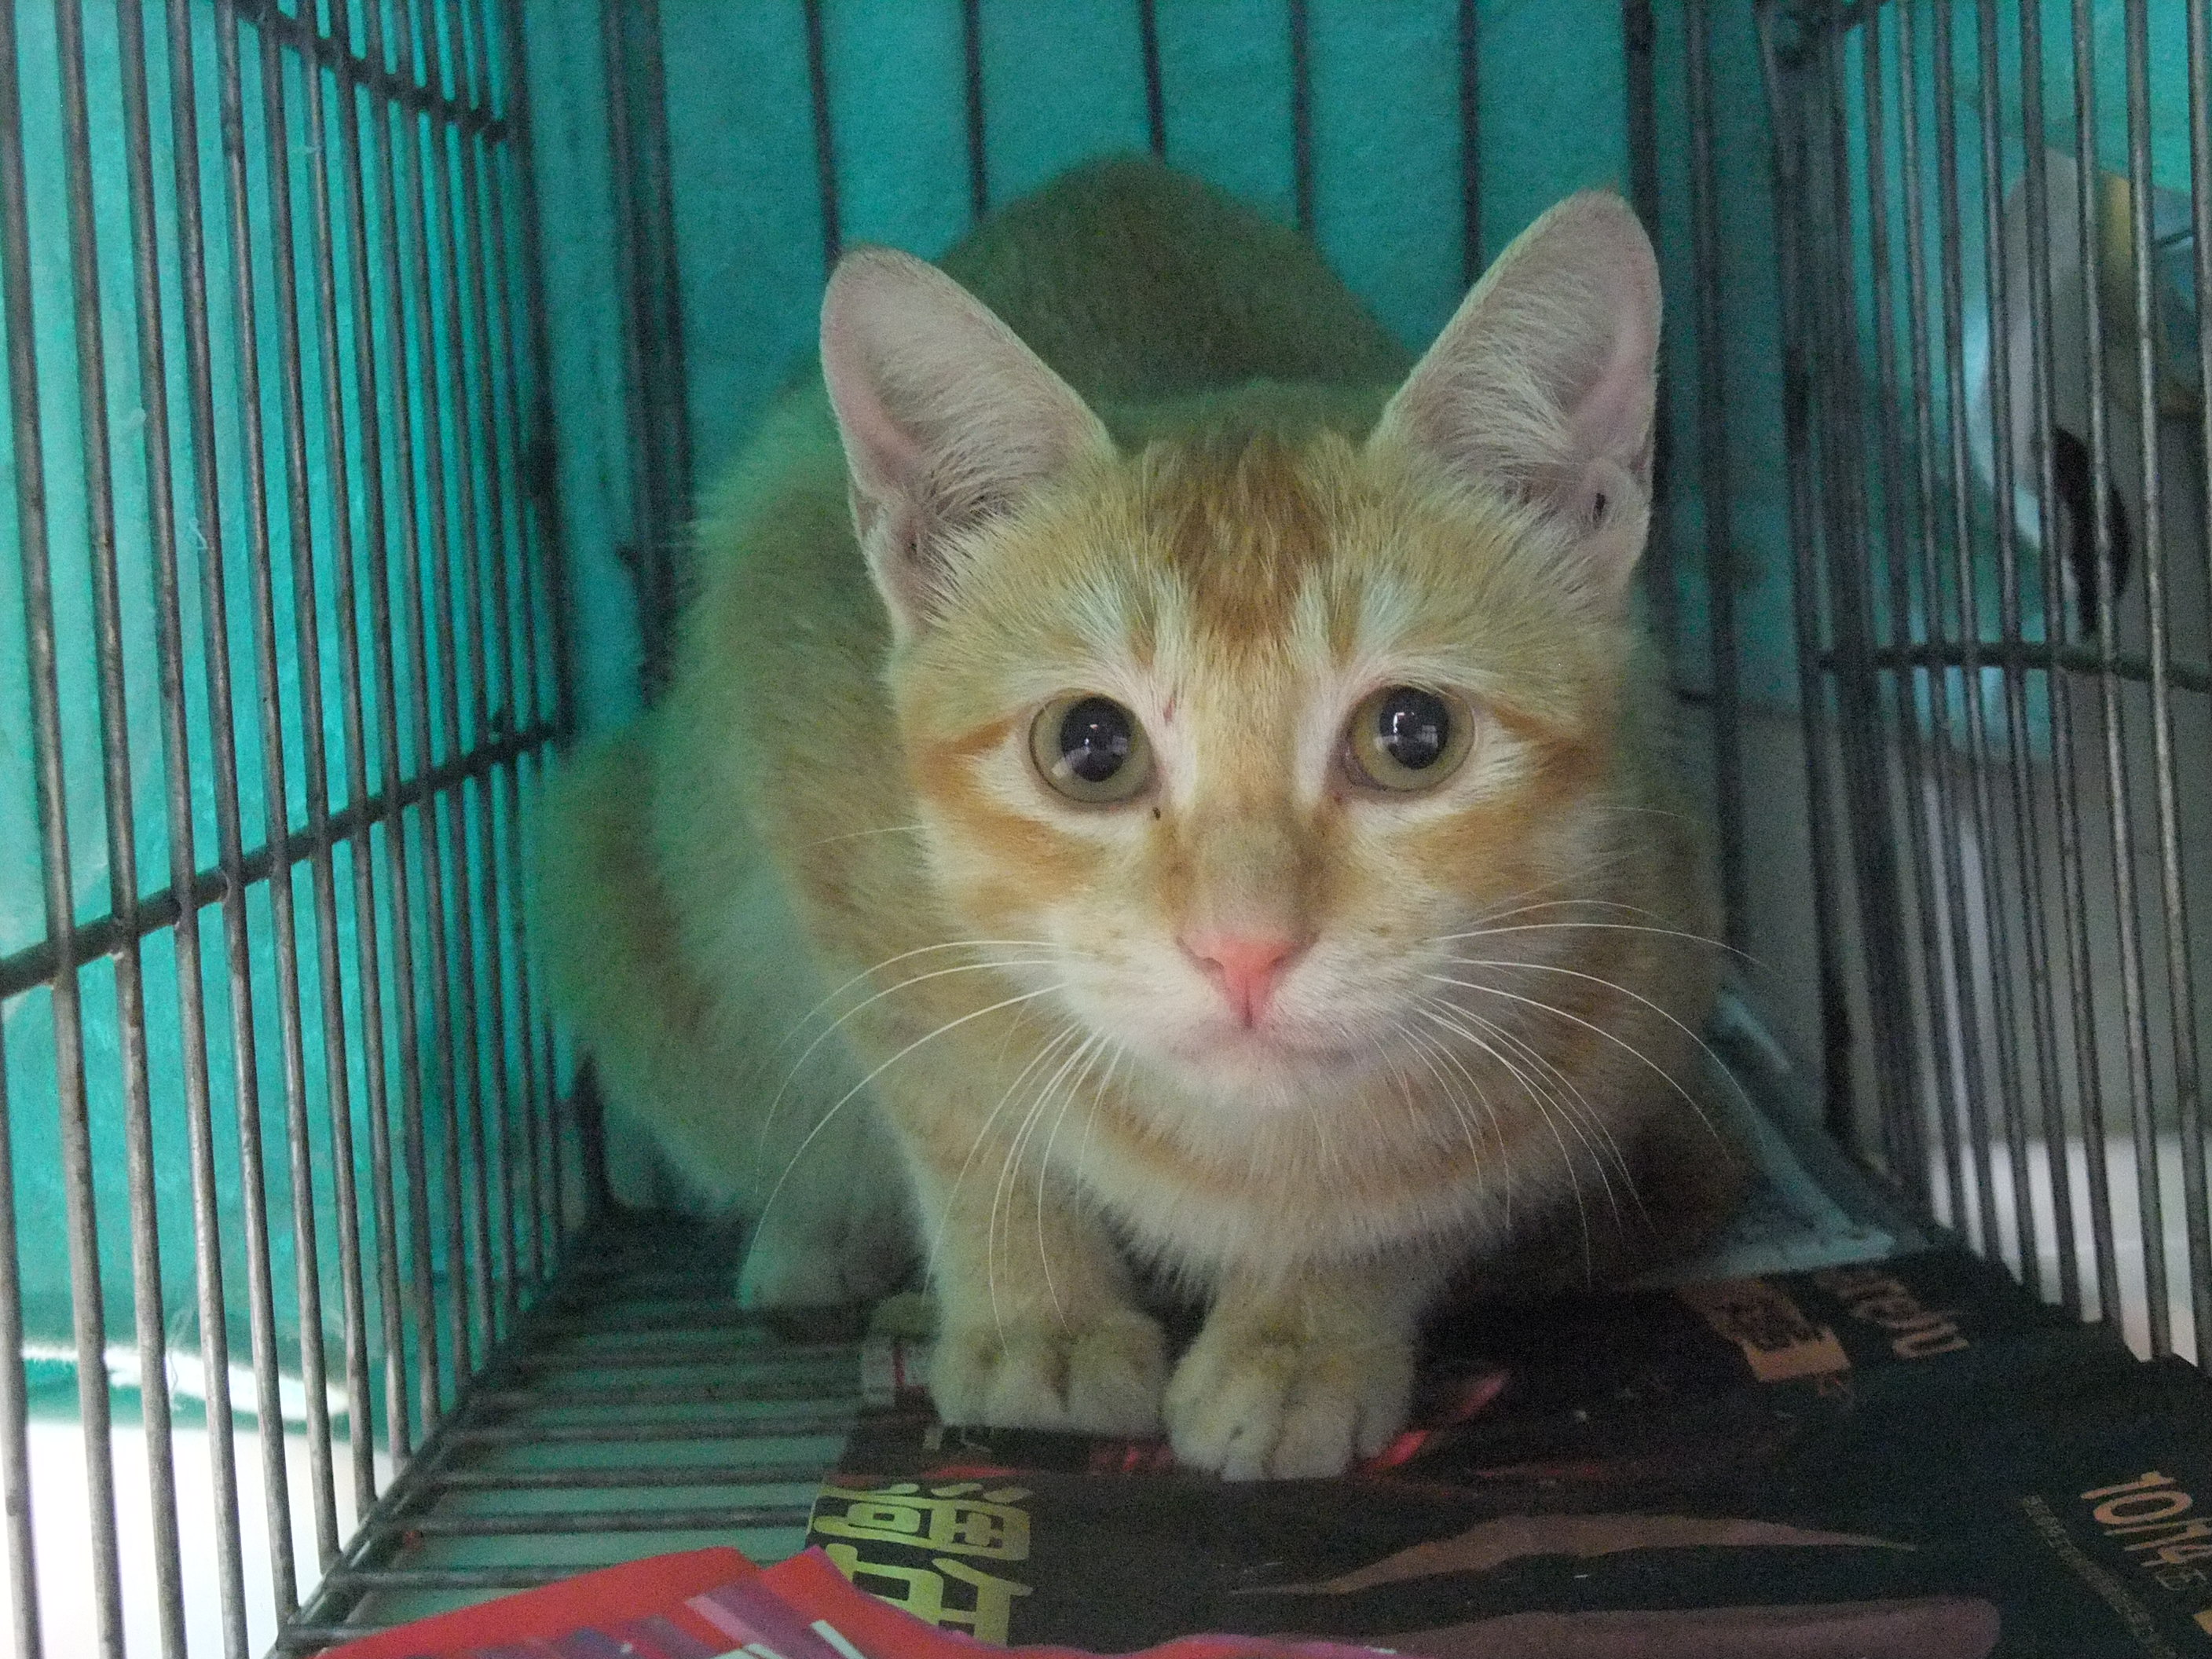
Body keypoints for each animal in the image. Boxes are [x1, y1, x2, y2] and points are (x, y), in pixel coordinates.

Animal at [540, 158, 1737, 1479]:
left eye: (1413, 735)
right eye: (1091, 748)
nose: (1244, 948)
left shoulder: (1637, 982)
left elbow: (1415, 1199)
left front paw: (1305, 1336)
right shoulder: (813, 787)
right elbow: (960, 1110)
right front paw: (1037, 1319)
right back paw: (821, 1247)